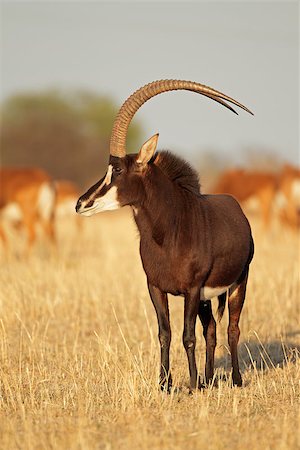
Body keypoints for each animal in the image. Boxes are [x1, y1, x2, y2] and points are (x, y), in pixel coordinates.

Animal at [76, 81, 254, 394]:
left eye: (117, 169)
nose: (81, 203)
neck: (168, 231)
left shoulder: (192, 289)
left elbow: (187, 336)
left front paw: (192, 385)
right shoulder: (156, 287)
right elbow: (165, 333)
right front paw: (165, 384)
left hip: (238, 283)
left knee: (232, 328)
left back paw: (234, 379)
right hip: (207, 298)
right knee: (211, 329)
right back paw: (210, 379)